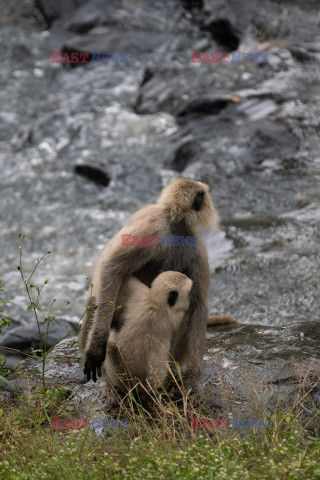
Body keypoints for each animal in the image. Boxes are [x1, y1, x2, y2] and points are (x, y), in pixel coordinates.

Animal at [80, 178, 235, 388]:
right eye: (204, 194)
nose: (209, 198)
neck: (174, 223)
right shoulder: (156, 227)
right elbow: (111, 267)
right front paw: (97, 346)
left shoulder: (194, 245)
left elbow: (198, 302)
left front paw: (193, 376)